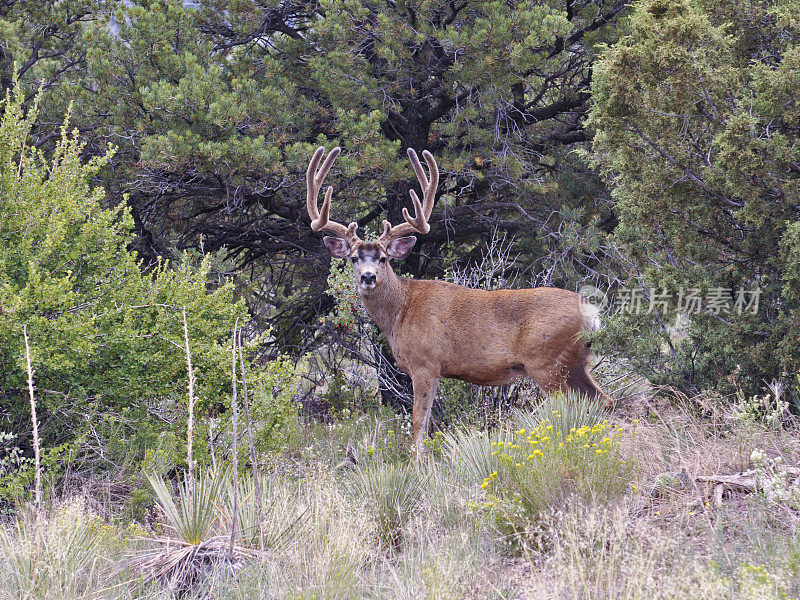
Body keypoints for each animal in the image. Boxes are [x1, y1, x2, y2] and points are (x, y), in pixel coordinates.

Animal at [306, 146, 612, 454]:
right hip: (575, 363)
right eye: (353, 258)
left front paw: (418, 462)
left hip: (547, 361)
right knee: (604, 400)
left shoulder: (425, 363)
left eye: (383, 258)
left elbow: (419, 421)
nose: (368, 277)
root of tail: (592, 316)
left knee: (577, 404)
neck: (399, 313)